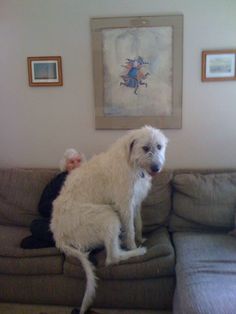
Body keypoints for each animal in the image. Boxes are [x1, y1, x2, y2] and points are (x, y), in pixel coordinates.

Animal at [50, 125, 168, 314]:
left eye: (159, 146)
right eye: (145, 148)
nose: (156, 168)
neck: (132, 162)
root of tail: (58, 235)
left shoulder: (135, 201)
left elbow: (138, 223)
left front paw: (140, 238)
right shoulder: (124, 204)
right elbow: (130, 229)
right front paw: (134, 245)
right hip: (107, 216)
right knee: (112, 258)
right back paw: (136, 252)